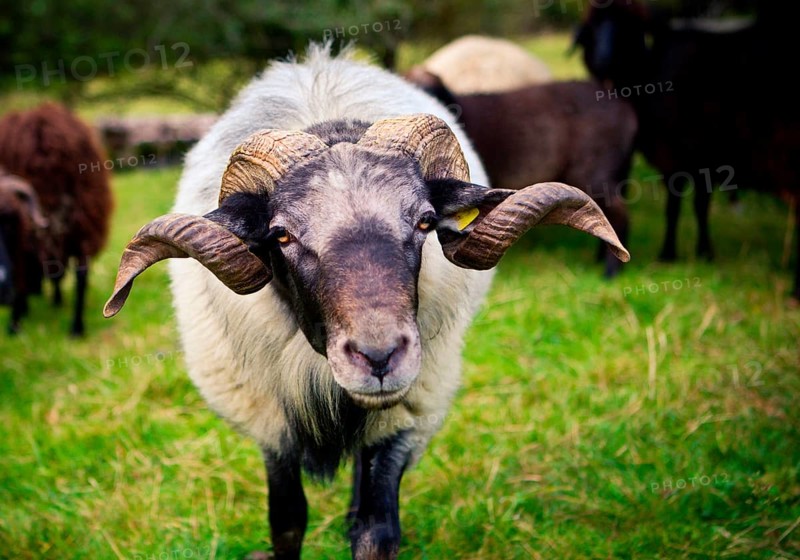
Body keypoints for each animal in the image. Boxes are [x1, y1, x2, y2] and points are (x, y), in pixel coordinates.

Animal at [574, 0, 800, 298]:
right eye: (593, 27)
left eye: (628, 25)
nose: (603, 61)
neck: (648, 71)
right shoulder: (693, 158)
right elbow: (685, 207)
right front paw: (689, 253)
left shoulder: (687, 155)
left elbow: (686, 206)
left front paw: (680, 253)